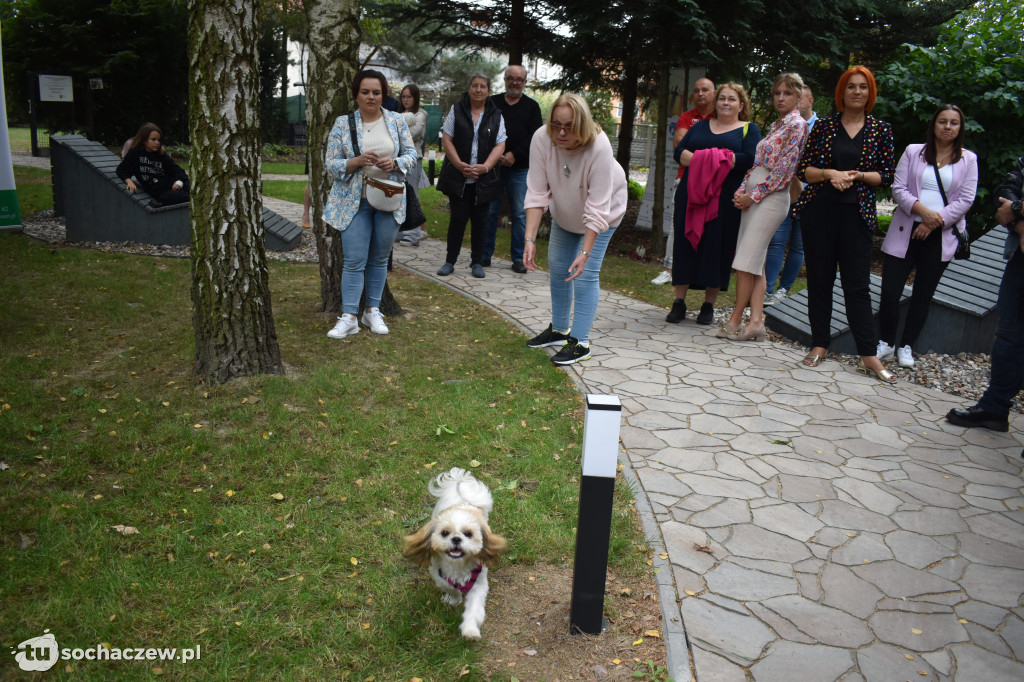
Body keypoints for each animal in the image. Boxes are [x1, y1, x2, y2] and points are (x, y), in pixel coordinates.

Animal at [403, 464, 507, 634]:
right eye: (445, 533)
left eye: (468, 534)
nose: (456, 538)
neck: (458, 565)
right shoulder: (438, 574)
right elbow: (450, 587)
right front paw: (454, 599)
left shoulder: (478, 583)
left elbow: (474, 608)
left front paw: (470, 630)